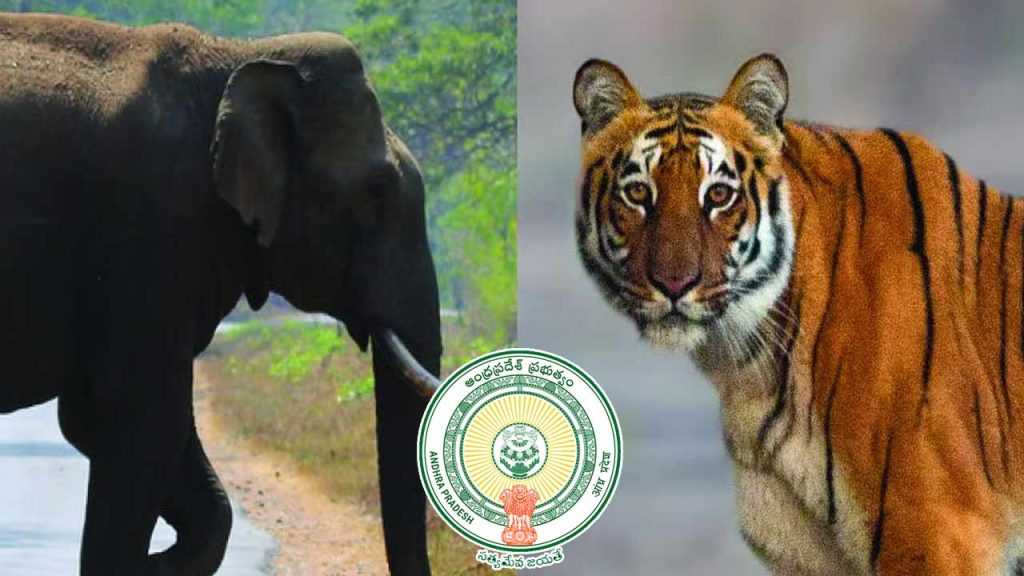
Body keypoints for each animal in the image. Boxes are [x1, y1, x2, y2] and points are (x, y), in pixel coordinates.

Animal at [0, 12, 443, 576]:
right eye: (377, 194)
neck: (238, 55)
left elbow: (96, 416)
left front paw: (156, 563)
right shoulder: (153, 224)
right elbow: (138, 414)